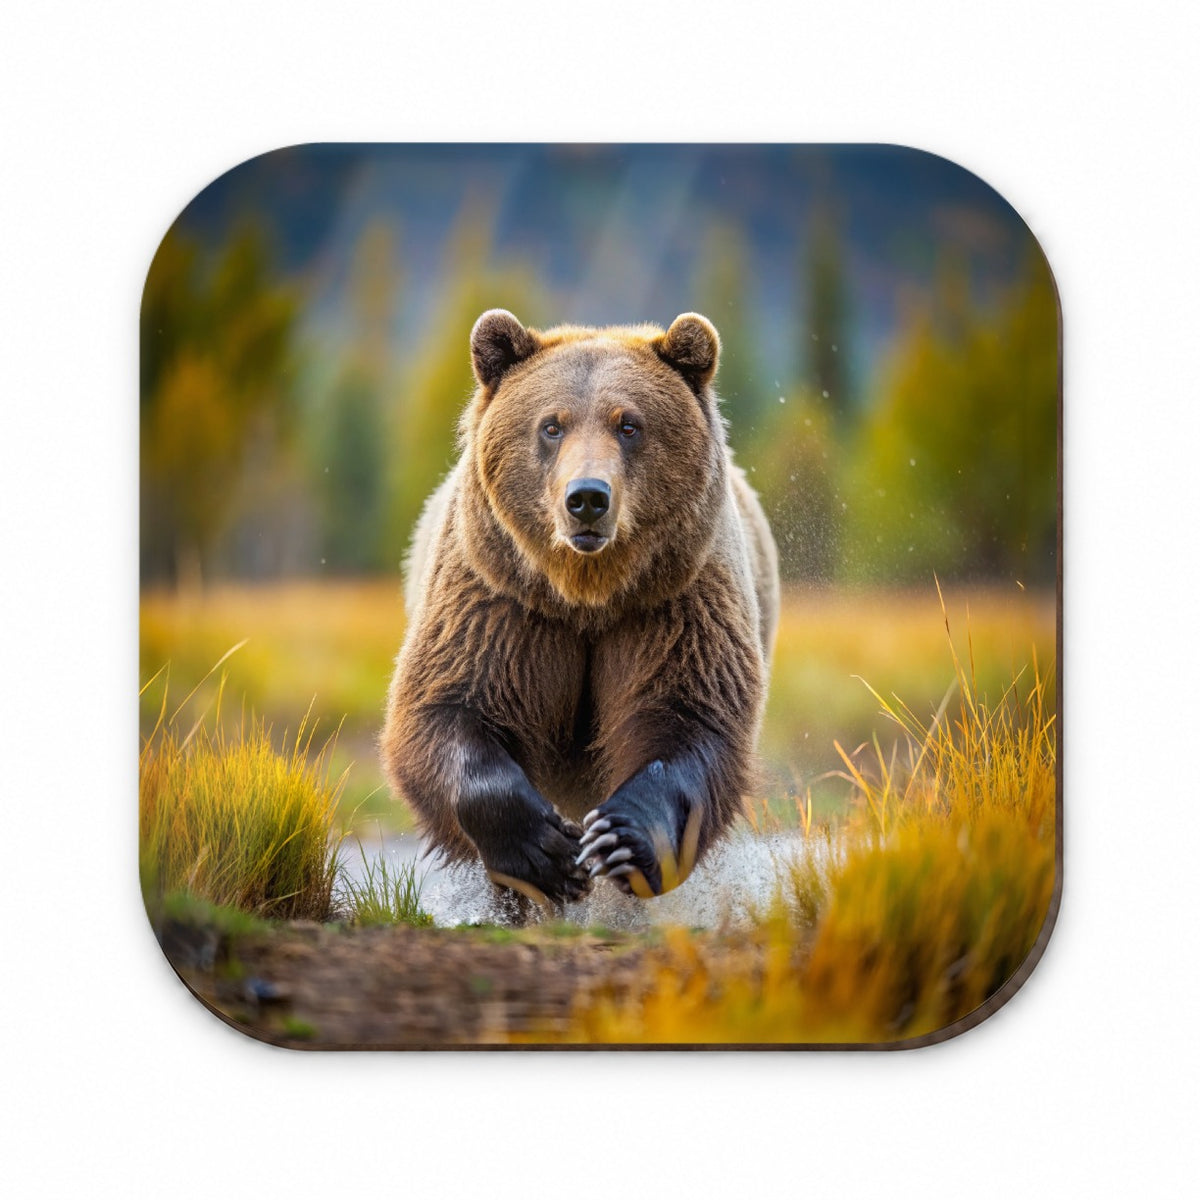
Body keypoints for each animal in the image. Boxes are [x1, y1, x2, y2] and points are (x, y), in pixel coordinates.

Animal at [381, 309, 780, 913]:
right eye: (552, 425)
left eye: (629, 424)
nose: (587, 497)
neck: (585, 595)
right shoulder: (500, 602)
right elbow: (448, 706)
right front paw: (545, 850)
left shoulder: (674, 605)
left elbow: (690, 715)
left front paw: (619, 838)